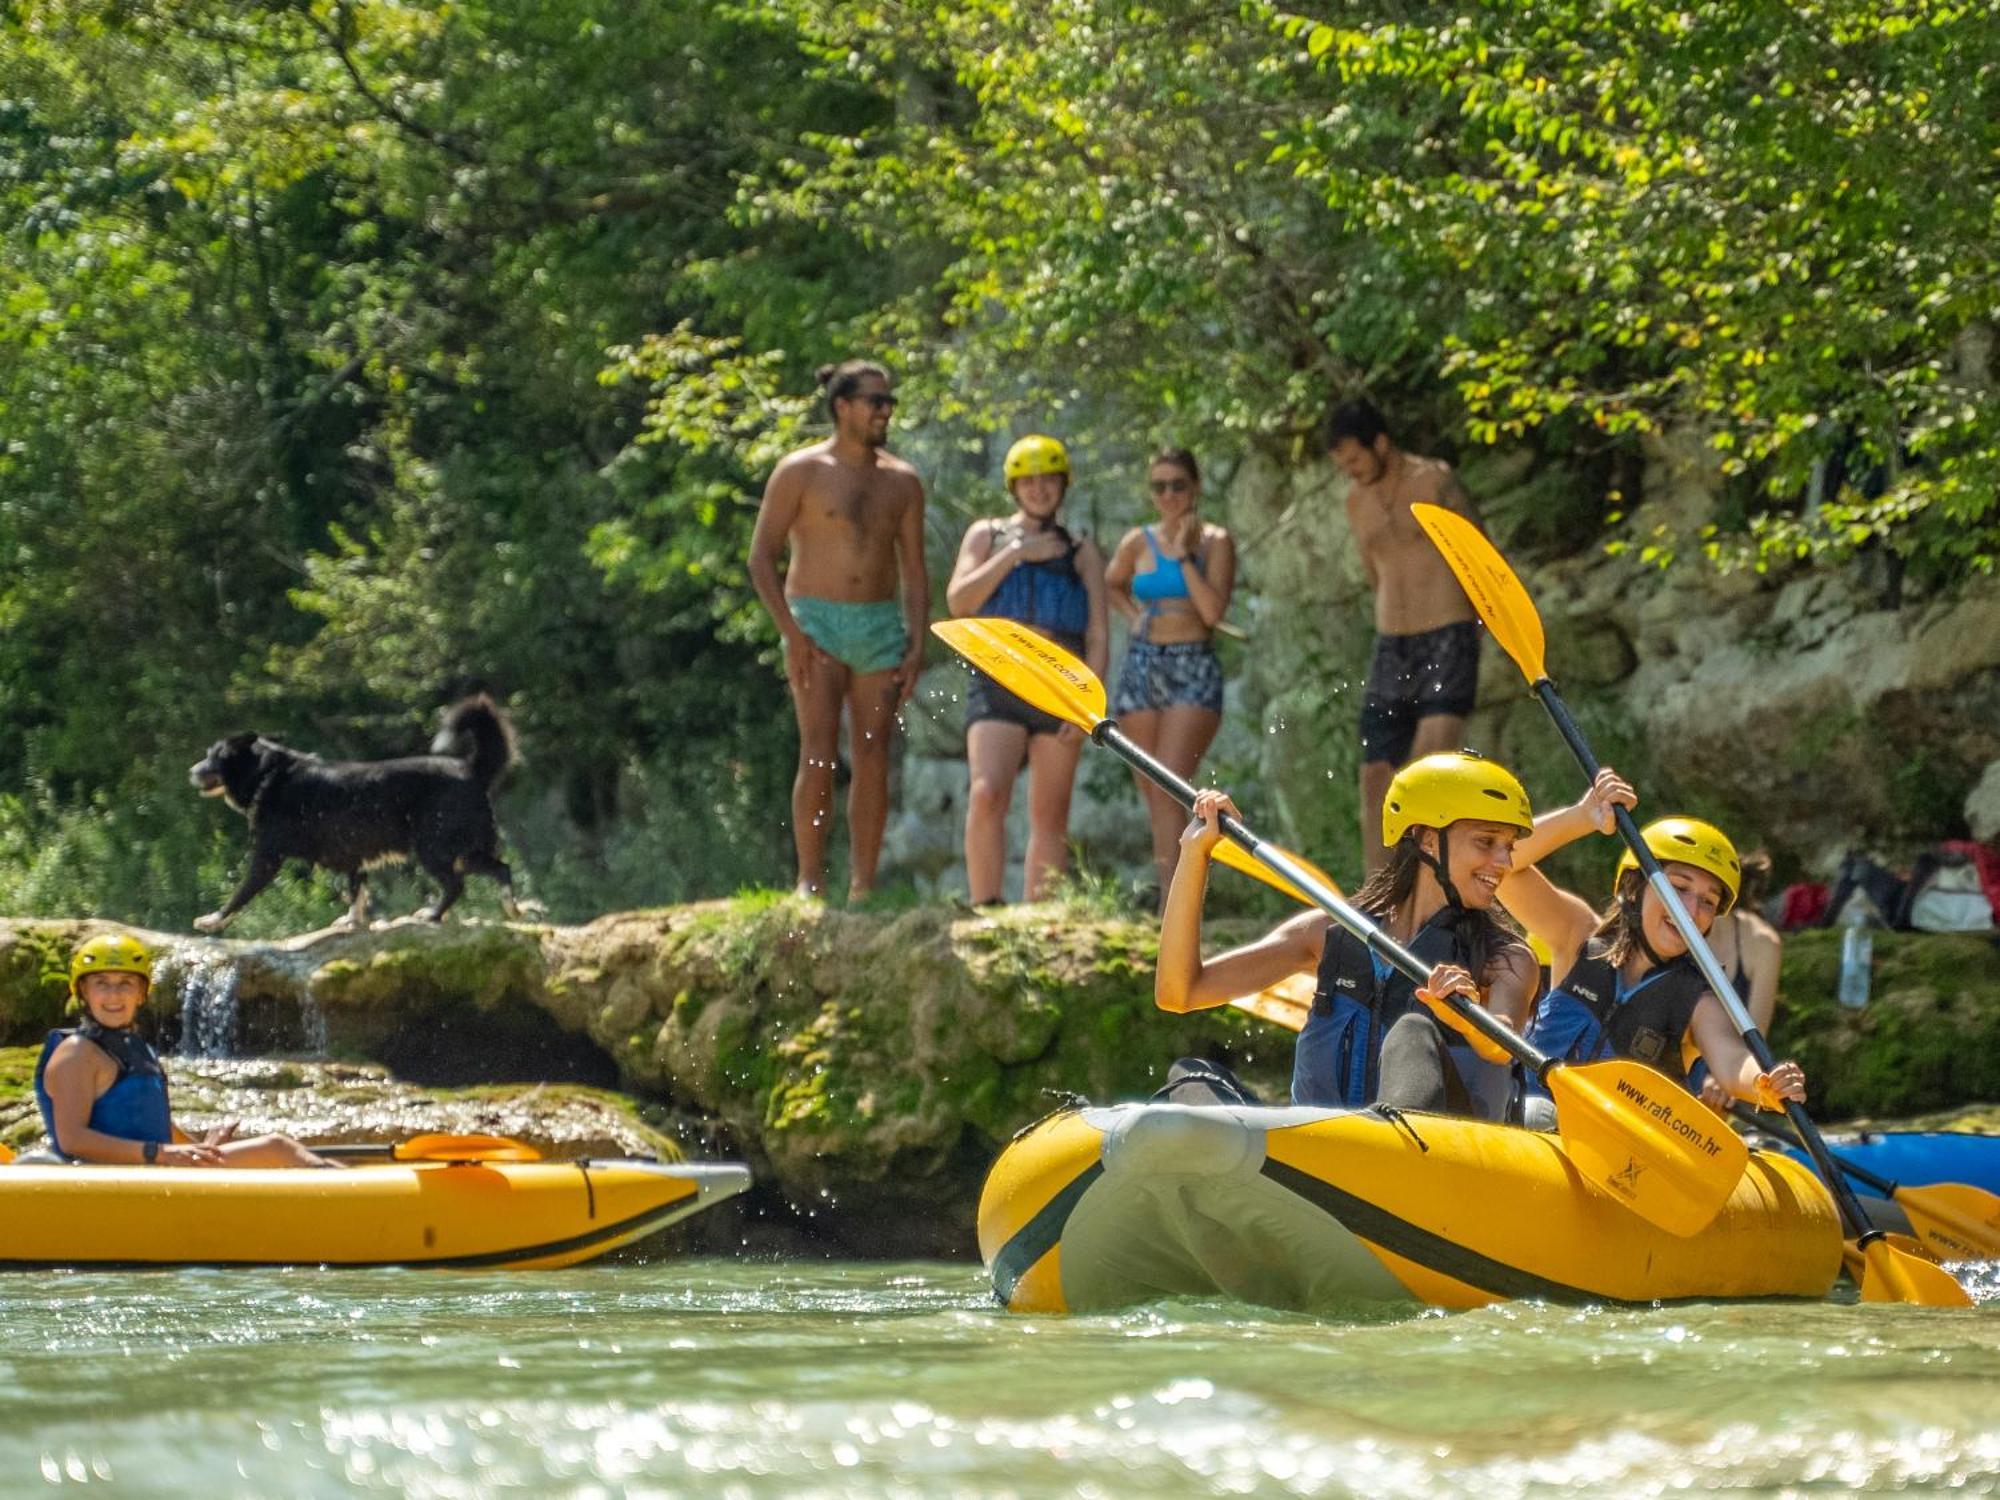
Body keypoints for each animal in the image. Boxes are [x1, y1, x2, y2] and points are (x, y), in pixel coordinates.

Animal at [188, 700, 528, 936]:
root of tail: (472, 769)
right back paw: (512, 909)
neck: (268, 775)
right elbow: (357, 890)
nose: (191, 771)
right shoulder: (352, 852)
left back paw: (432, 915)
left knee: (457, 885)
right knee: (502, 868)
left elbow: (240, 893)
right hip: (463, 850)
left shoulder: (267, 857)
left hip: (435, 848)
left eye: (214, 757)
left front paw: (212, 921)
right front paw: (352, 921)